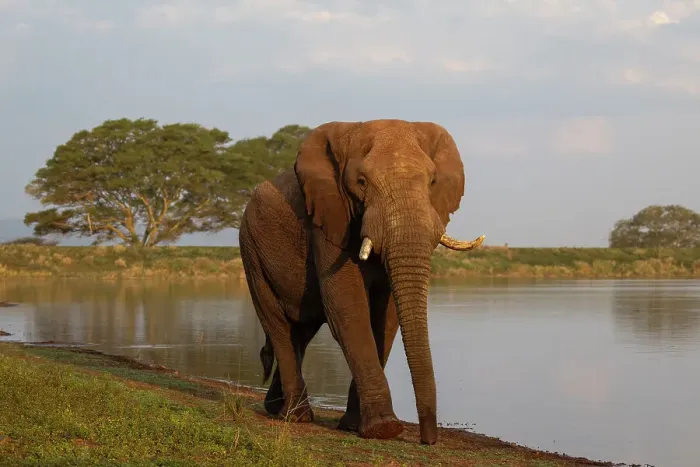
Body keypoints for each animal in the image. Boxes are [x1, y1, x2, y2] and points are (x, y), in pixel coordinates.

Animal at [238, 119, 484, 445]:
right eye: (362, 182)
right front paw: (384, 430)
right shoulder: (329, 219)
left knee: (300, 332)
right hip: (251, 249)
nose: (428, 439)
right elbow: (348, 307)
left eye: (432, 181)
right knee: (277, 323)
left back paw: (275, 407)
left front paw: (354, 427)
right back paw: (297, 417)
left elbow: (387, 316)